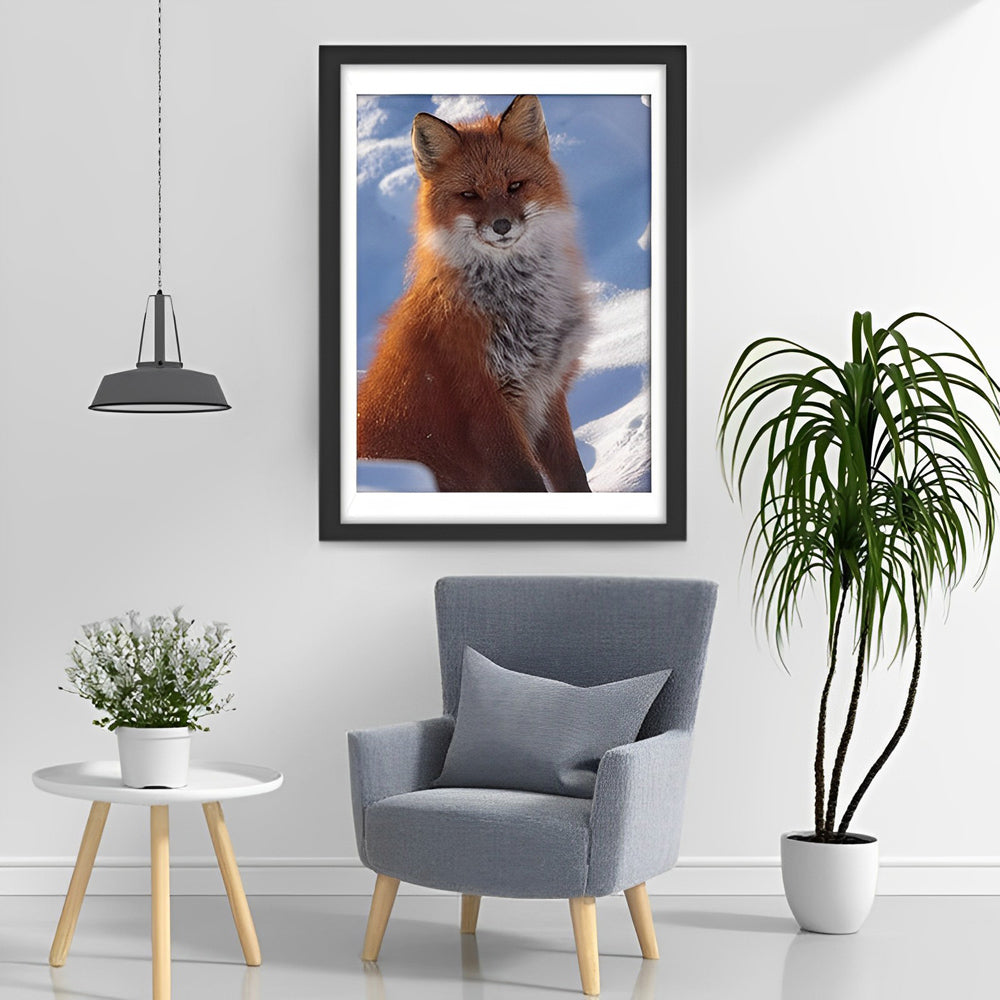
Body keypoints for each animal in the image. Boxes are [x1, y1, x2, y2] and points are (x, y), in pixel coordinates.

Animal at [357, 95, 593, 492]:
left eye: (515, 186)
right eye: (469, 195)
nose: (502, 226)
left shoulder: (547, 393)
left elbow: (574, 479)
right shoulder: (485, 408)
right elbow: (529, 484)